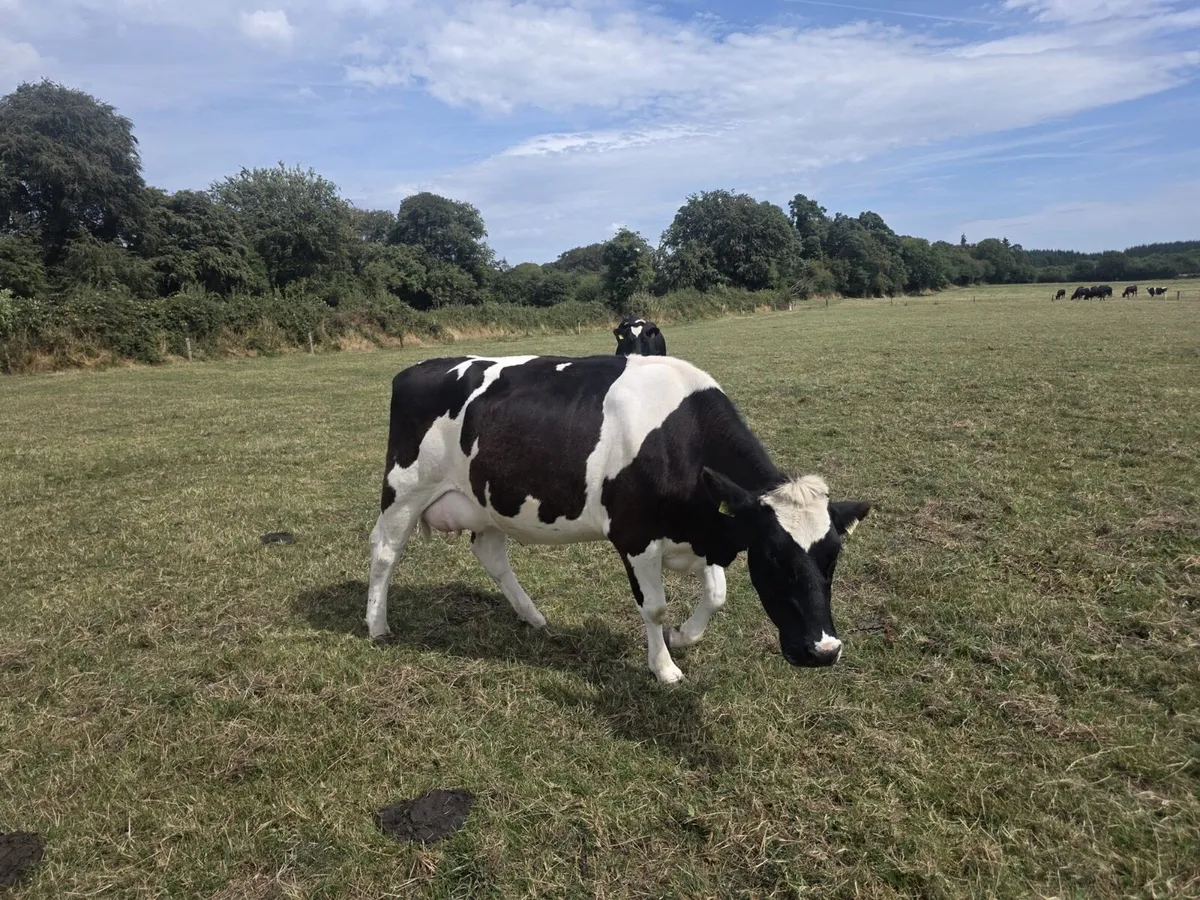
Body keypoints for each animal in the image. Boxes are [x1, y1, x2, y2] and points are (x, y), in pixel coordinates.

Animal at [366, 354, 872, 683]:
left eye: (832, 558)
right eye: (773, 558)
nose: (824, 651)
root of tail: (418, 368)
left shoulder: (708, 528)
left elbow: (717, 594)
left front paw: (683, 636)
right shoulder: (636, 537)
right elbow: (654, 606)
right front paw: (665, 666)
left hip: (487, 502)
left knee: (491, 555)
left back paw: (534, 617)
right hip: (405, 489)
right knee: (385, 551)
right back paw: (377, 625)